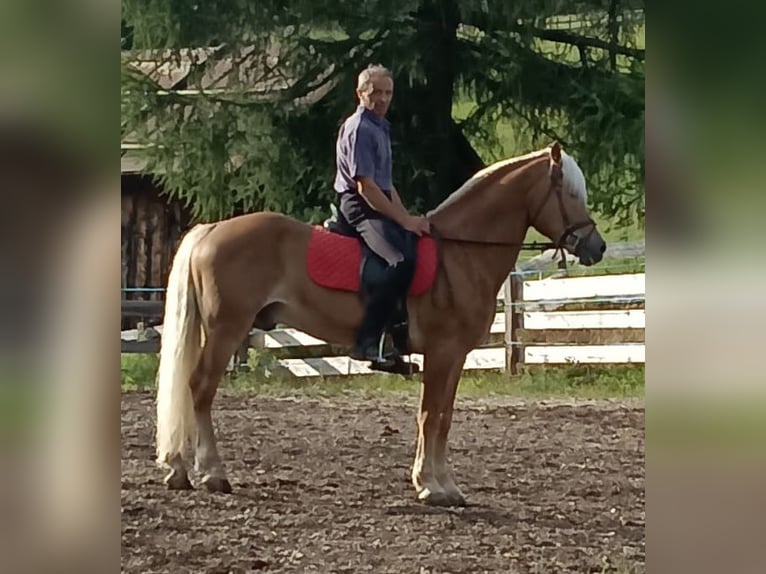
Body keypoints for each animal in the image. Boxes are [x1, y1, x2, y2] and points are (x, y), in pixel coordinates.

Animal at [154, 142, 608, 506]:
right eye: (569, 193)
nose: (597, 246)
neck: (460, 254)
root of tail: (211, 228)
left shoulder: (455, 356)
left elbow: (443, 416)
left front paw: (444, 485)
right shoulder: (442, 352)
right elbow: (431, 415)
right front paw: (431, 486)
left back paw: (178, 471)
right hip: (226, 329)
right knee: (200, 389)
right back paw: (212, 474)